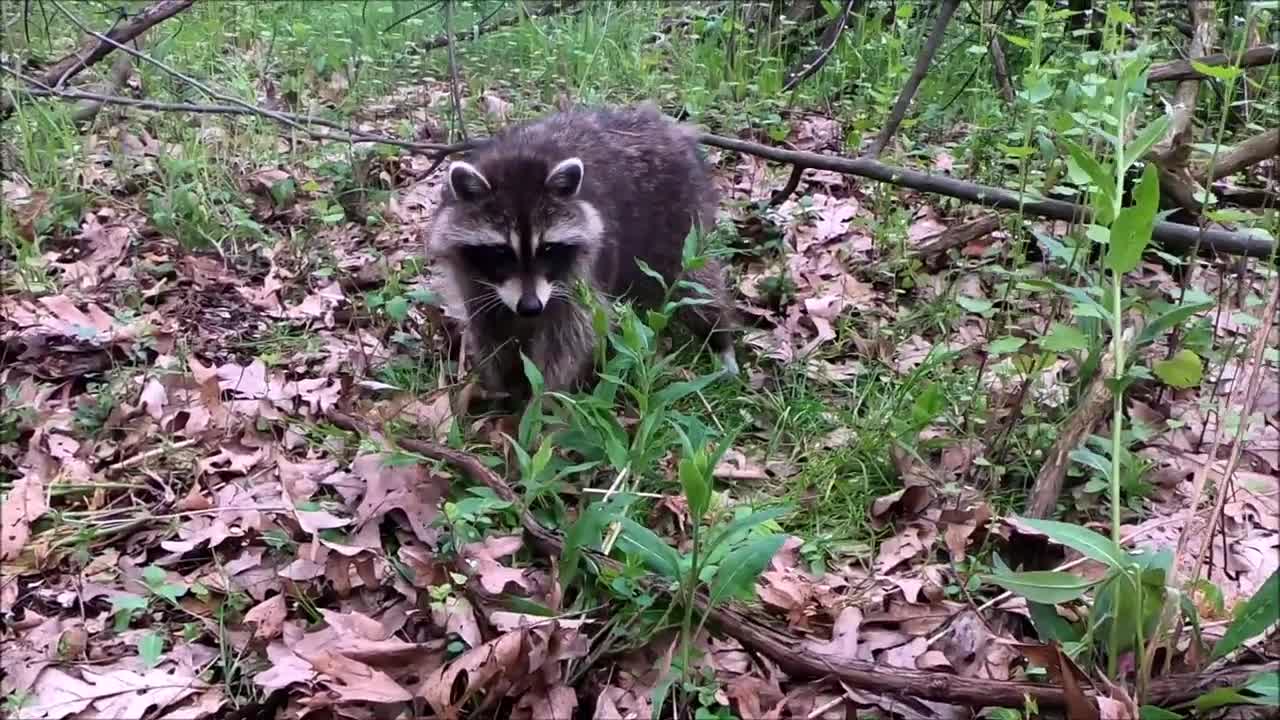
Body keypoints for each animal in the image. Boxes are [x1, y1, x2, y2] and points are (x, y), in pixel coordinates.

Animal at [424, 103, 737, 407]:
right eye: (501, 251)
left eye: (547, 248)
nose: (530, 307)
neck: (519, 159)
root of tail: (673, 129)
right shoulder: (471, 276)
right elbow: (488, 328)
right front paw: (499, 385)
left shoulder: (579, 275)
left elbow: (570, 338)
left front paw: (544, 402)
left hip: (681, 222)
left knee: (695, 282)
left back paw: (718, 336)